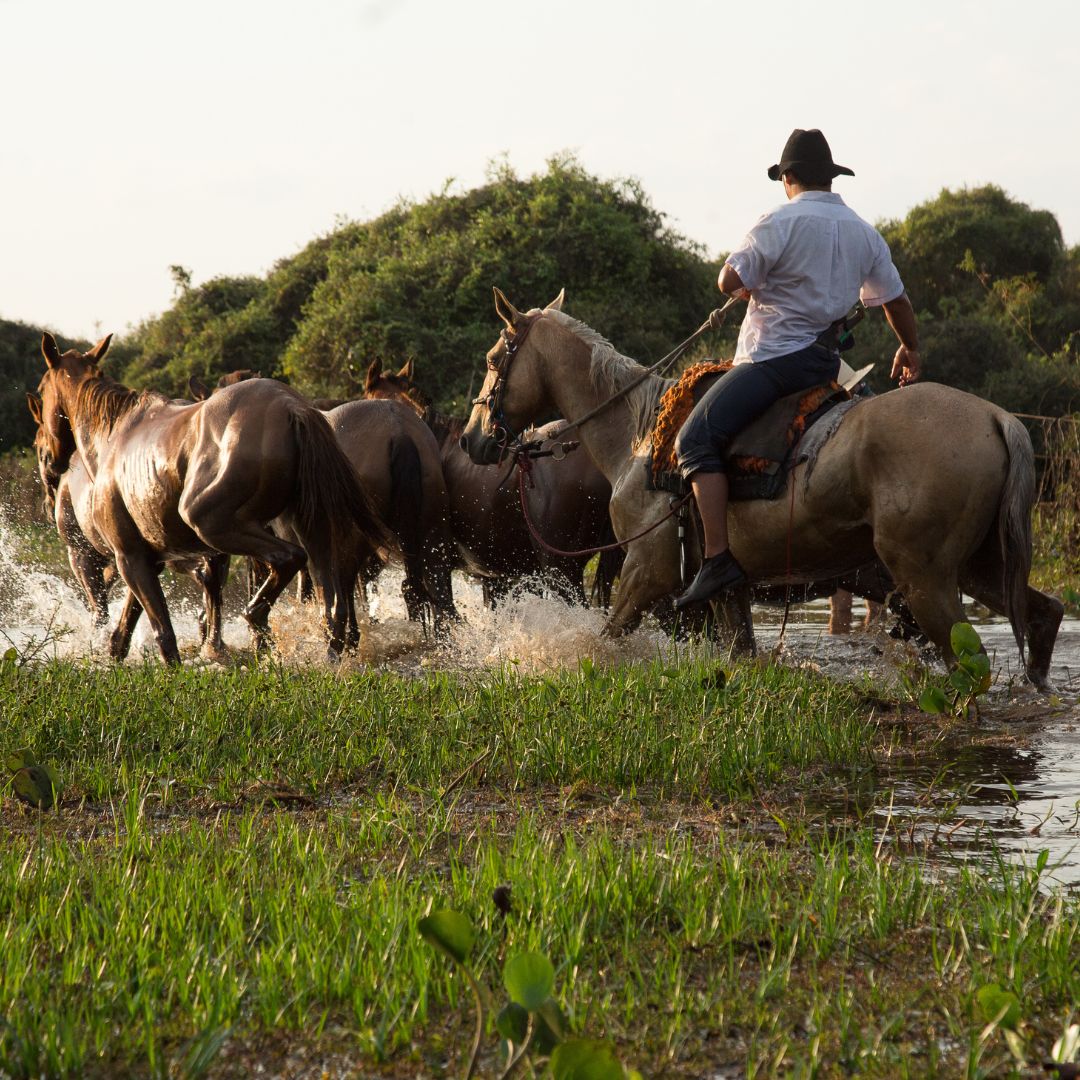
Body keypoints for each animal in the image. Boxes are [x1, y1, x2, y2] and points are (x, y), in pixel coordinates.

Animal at [34, 332, 388, 660]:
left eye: (40, 391)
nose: (50, 460)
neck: (114, 434)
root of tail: (293, 408)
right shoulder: (147, 559)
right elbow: (122, 636)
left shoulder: (130, 558)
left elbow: (163, 632)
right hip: (313, 532)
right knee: (332, 605)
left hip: (213, 525)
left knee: (287, 560)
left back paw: (256, 625)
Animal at [462, 289, 1062, 691]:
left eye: (493, 360)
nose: (472, 439)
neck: (638, 431)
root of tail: (996, 417)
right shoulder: (728, 589)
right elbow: (739, 649)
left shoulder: (647, 567)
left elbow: (606, 636)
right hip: (979, 566)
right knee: (1045, 614)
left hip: (925, 579)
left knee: (972, 662)